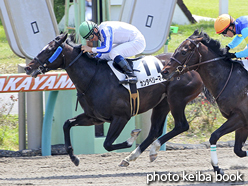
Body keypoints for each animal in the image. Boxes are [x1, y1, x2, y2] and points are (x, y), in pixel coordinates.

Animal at [24, 33, 203, 167]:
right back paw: (133, 157)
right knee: (154, 131)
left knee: (181, 125)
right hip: (162, 103)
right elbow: (67, 124)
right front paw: (74, 158)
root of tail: (195, 68)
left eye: (49, 50)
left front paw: (132, 137)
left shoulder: (121, 117)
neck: (94, 79)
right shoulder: (94, 117)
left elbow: (107, 144)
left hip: (176, 99)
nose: (28, 67)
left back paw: (151, 150)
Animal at [160, 29, 248, 175]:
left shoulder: (239, 117)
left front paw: (217, 167)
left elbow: (214, 136)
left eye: (183, 52)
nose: (164, 71)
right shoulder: (241, 122)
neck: (230, 79)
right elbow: (238, 150)